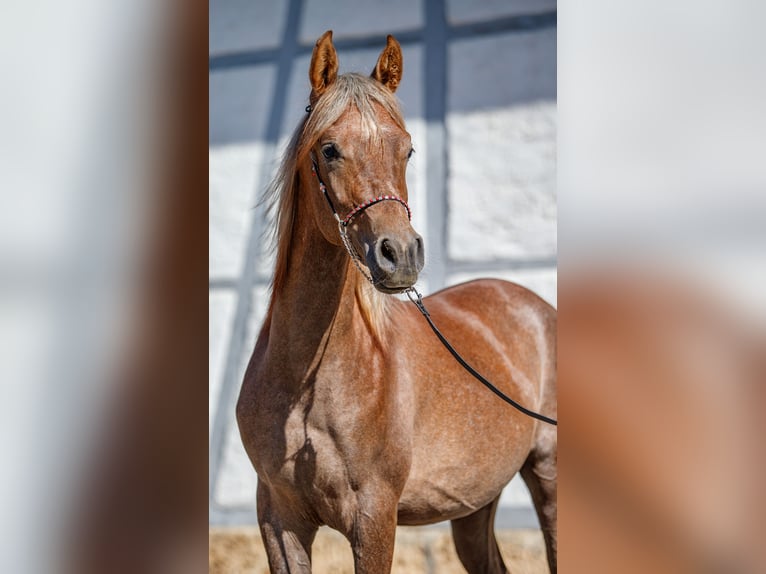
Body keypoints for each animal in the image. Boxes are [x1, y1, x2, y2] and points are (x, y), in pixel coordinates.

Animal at [236, 31, 557, 574]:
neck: (308, 385)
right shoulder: (278, 520)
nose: (400, 255)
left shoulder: (374, 517)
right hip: (475, 506)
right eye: (329, 149)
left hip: (549, 477)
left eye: (407, 150)